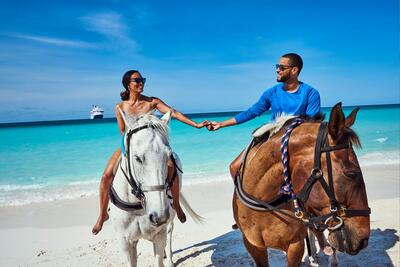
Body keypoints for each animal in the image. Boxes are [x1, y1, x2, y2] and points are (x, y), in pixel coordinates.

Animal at [108, 110, 202, 266]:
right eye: (137, 158)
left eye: (169, 156)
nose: (159, 216)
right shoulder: (125, 243)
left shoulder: (159, 234)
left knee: (170, 231)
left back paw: (169, 259)